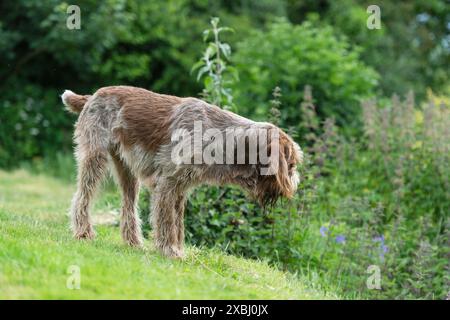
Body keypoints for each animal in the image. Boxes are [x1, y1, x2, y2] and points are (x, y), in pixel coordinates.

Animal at [62, 86, 302, 258]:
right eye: (291, 165)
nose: (296, 184)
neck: (221, 138)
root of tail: (92, 96)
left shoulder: (180, 189)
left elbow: (178, 224)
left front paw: (177, 250)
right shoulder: (167, 184)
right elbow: (167, 222)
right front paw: (170, 251)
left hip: (128, 173)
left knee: (128, 208)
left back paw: (134, 243)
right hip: (95, 159)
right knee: (82, 197)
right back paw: (83, 232)